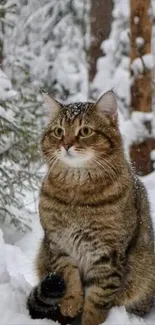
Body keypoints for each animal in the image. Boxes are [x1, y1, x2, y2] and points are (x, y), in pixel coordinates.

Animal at [27, 91, 154, 324]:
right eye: (59, 131)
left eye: (85, 131)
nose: (66, 144)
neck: (78, 199)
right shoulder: (59, 244)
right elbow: (69, 277)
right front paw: (71, 303)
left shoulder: (108, 254)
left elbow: (97, 302)